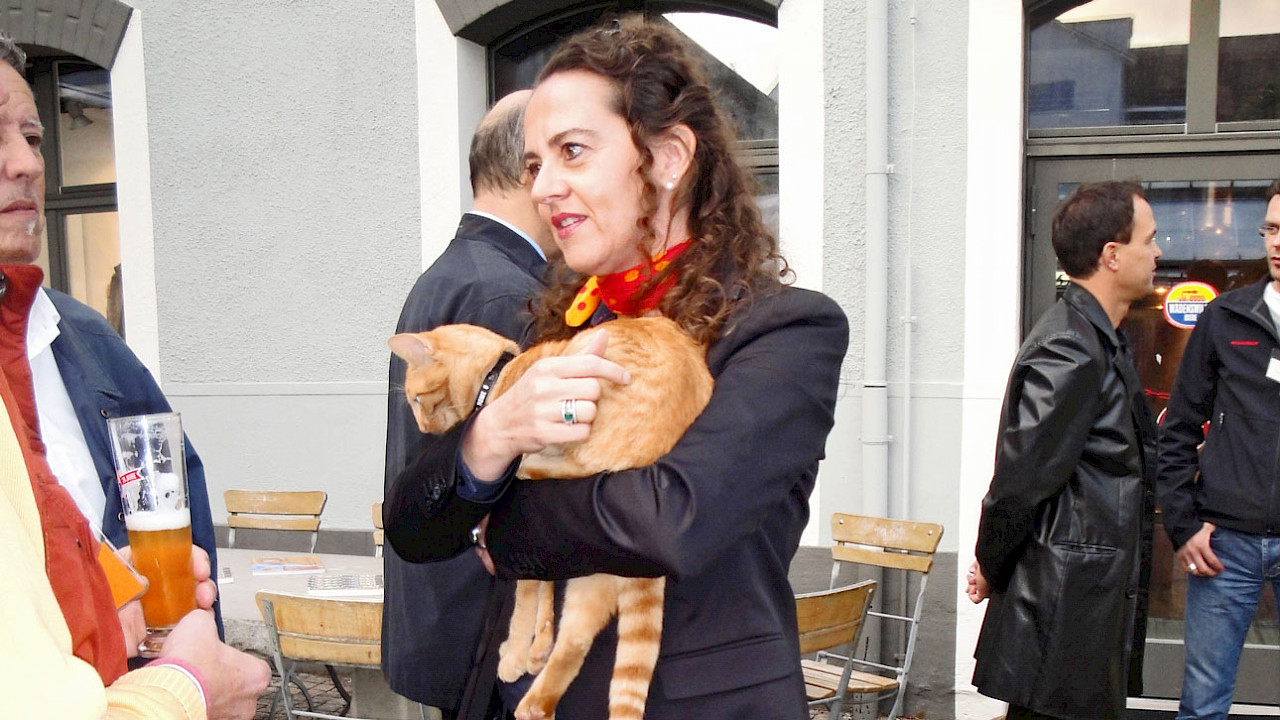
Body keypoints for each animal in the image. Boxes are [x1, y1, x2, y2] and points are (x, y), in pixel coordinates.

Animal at [388, 316, 713, 720]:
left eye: (416, 400)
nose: (421, 428)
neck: (499, 378)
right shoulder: (542, 552)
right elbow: (543, 591)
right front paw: (538, 645)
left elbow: (524, 601)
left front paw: (516, 652)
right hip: (595, 570)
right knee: (575, 639)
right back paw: (535, 703)